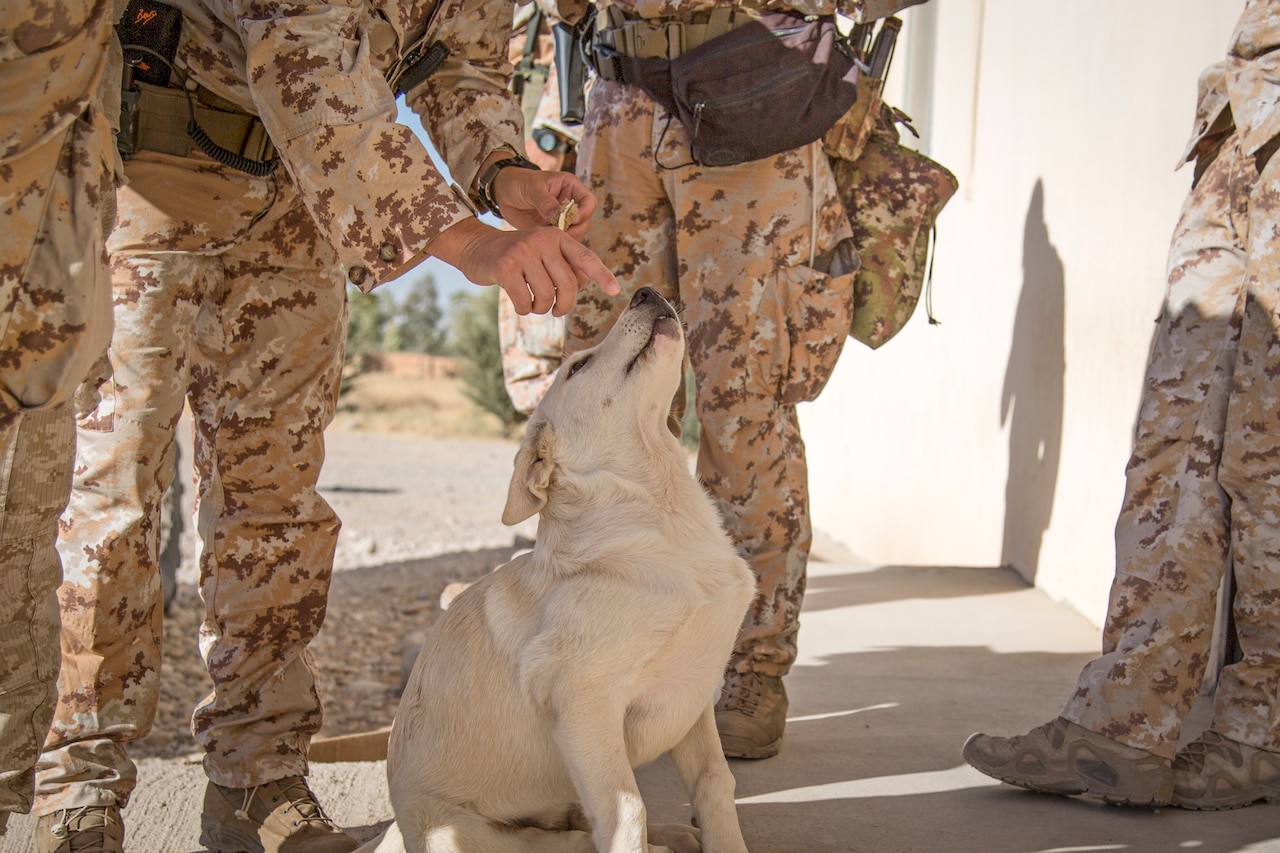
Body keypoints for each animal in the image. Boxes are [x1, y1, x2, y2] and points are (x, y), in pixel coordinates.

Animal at [355, 286, 752, 850]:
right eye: (579, 366)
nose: (645, 291)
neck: (667, 521)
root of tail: (394, 831)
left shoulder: (694, 691)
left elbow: (715, 782)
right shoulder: (583, 703)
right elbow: (627, 812)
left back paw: (676, 833)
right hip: (470, 835)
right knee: (580, 840)